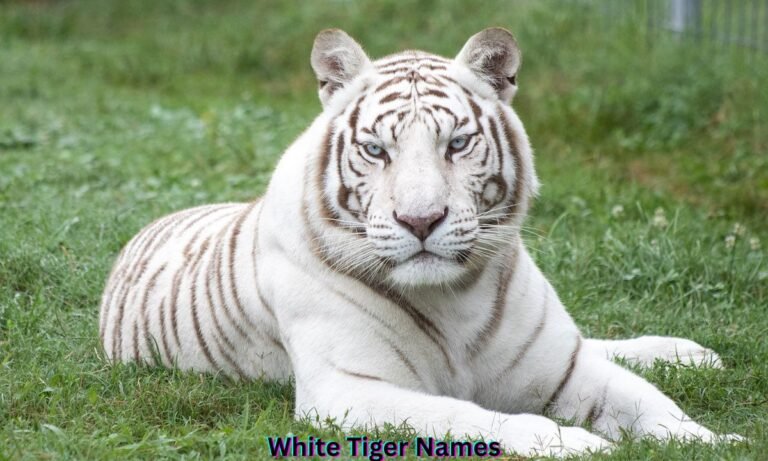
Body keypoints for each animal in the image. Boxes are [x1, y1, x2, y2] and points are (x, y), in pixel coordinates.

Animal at [99, 28, 741, 457]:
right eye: (375, 149)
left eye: (457, 143)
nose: (421, 219)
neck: (457, 297)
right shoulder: (350, 389)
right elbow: (470, 417)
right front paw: (578, 444)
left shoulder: (562, 366)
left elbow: (649, 402)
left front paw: (711, 438)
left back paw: (689, 353)